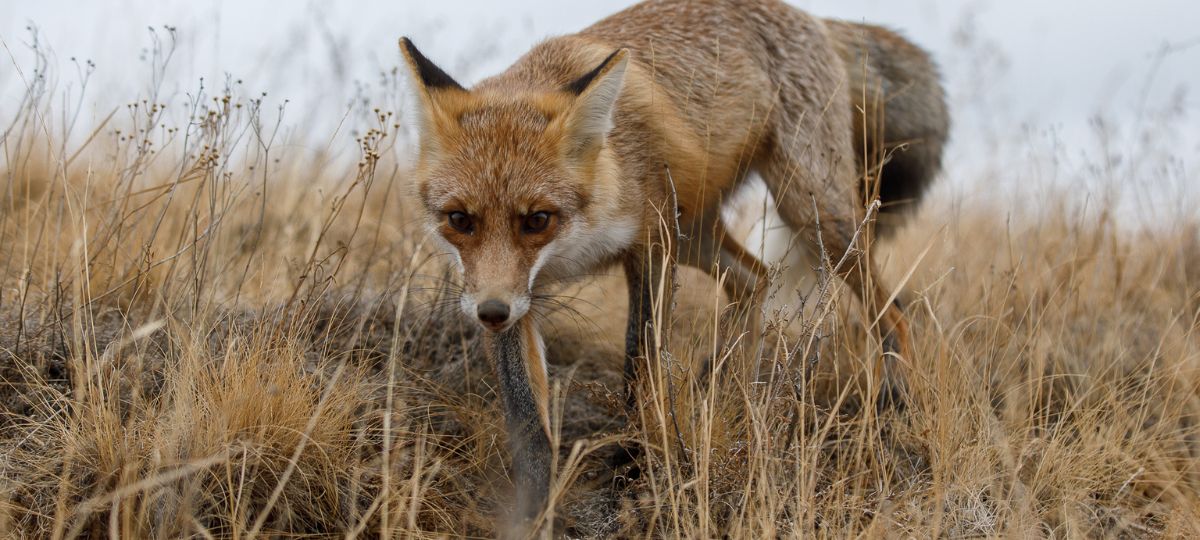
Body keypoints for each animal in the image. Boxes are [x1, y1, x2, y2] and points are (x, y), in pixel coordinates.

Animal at [398, 0, 948, 529]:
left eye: (537, 220)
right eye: (459, 219)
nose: (489, 314)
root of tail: (807, 15)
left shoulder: (651, 246)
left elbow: (640, 369)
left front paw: (638, 471)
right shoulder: (510, 290)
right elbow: (528, 420)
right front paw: (535, 513)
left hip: (813, 215)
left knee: (895, 311)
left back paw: (898, 402)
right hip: (699, 235)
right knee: (754, 279)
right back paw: (726, 387)